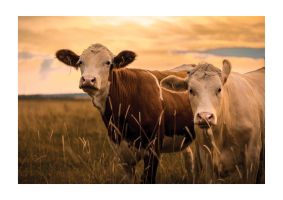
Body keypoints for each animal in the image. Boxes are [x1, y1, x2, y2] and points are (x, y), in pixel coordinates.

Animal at [56, 43, 197, 183]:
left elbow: (148, 179)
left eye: (108, 62)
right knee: (189, 158)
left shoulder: (154, 148)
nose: (88, 80)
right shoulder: (121, 153)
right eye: (80, 62)